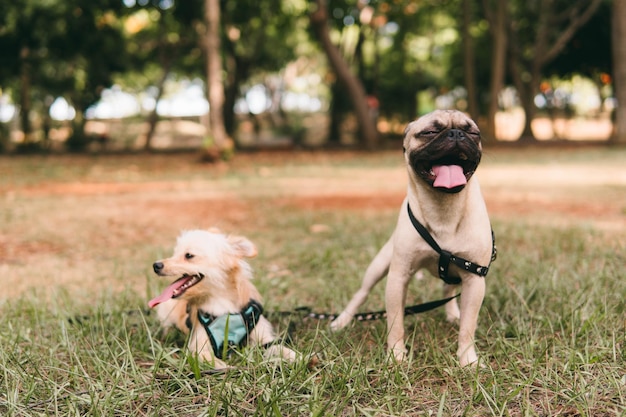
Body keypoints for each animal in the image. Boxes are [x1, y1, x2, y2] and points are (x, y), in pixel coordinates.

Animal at [147, 228, 296, 368]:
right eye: (175, 253)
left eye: (189, 255)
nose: (156, 265)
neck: (221, 302)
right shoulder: (199, 348)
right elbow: (215, 361)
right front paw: (230, 368)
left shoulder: (263, 337)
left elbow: (278, 347)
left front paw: (296, 357)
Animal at [330, 109, 494, 366]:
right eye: (430, 132)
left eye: (473, 133)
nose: (456, 134)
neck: (443, 209)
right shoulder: (398, 278)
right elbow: (395, 322)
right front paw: (396, 355)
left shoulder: (474, 279)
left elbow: (469, 327)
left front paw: (468, 359)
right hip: (378, 266)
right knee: (361, 294)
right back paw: (342, 321)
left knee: (447, 290)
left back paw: (453, 314)